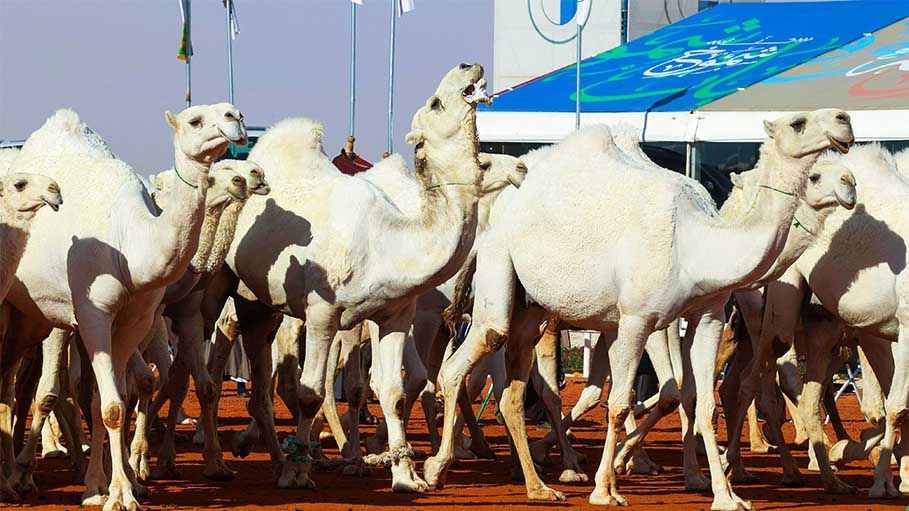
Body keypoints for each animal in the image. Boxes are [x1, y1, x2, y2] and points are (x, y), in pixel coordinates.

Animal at [3, 105, 245, 511]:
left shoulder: (136, 319)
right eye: (194, 120)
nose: (235, 117)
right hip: (31, 313)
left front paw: (108, 487)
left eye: (232, 113)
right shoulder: (93, 314)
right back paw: (19, 475)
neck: (130, 245)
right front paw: (119, 493)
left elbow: (107, 401)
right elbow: (109, 405)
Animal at [426, 108, 852, 508]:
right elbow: (619, 402)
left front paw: (725, 495)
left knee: (510, 391)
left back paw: (538, 485)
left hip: (533, 308)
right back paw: (438, 468)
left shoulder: (708, 316)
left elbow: (703, 402)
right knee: (474, 350)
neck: (699, 243)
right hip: (500, 261)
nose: (844, 120)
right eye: (798, 123)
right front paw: (606, 489)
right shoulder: (637, 319)